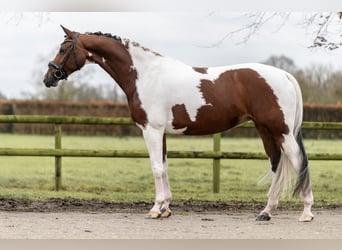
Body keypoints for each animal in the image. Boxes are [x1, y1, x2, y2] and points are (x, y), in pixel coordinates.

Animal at [43, 26, 316, 222]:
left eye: (63, 48)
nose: (48, 78)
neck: (144, 74)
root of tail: (284, 75)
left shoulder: (151, 131)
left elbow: (156, 168)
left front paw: (155, 209)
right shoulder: (160, 133)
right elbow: (164, 167)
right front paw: (165, 208)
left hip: (281, 131)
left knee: (298, 161)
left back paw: (306, 212)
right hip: (265, 130)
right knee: (277, 164)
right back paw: (266, 212)